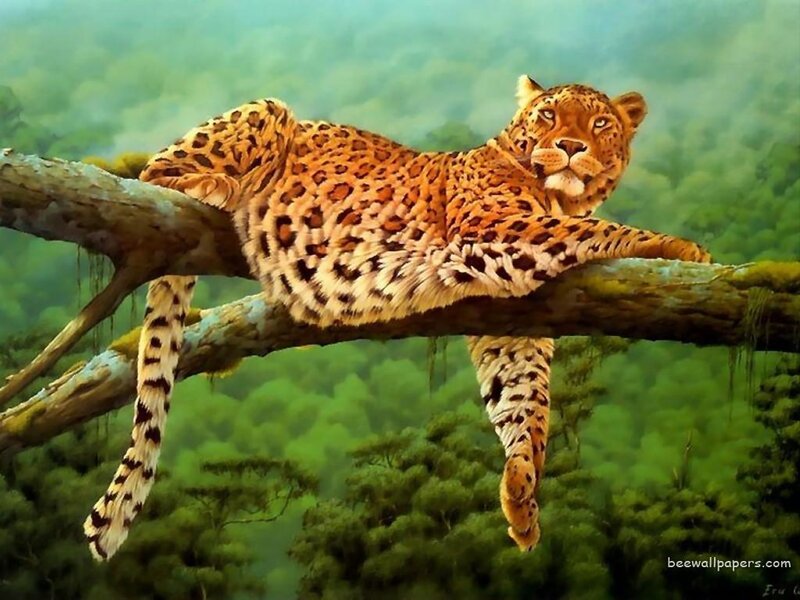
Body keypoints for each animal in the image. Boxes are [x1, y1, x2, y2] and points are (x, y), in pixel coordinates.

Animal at [83, 75, 711, 560]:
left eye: (600, 124)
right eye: (550, 115)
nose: (572, 145)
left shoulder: (510, 320)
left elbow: (524, 402)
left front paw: (522, 493)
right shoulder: (496, 228)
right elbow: (598, 230)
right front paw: (683, 248)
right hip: (265, 113)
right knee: (154, 172)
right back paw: (215, 184)